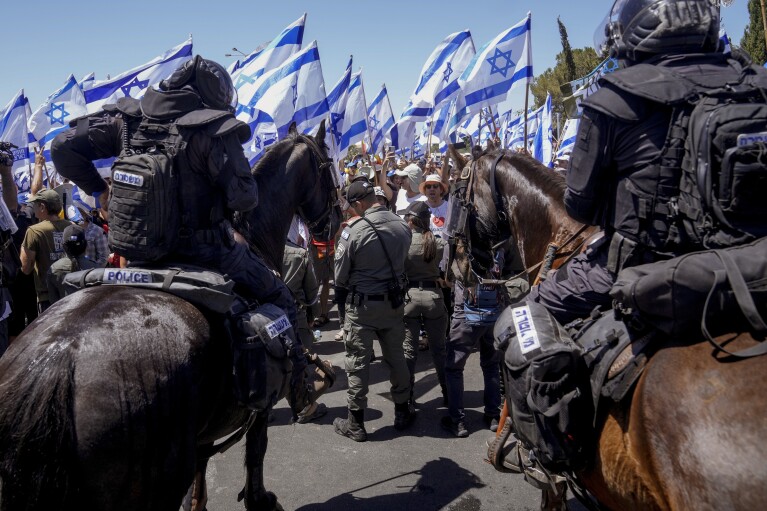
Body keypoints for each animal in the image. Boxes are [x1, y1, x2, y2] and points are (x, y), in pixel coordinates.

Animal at [0, 122, 342, 510]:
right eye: (328, 167)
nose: (335, 222)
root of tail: (54, 361)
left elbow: (201, 477)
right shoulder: (260, 407)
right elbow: (256, 452)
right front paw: (261, 499)